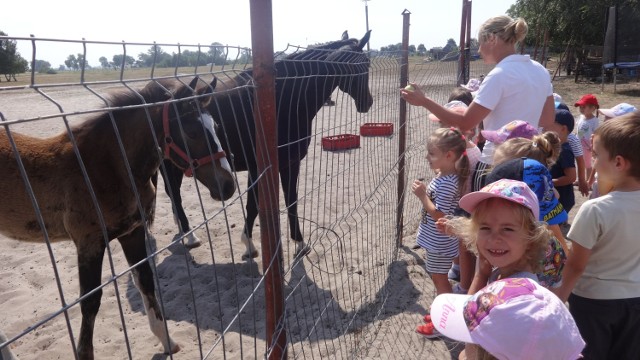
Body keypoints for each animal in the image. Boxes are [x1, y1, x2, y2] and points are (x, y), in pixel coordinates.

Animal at [0, 77, 235, 358]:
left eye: (216, 126)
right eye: (191, 132)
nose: (228, 185)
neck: (107, 168)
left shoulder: (132, 233)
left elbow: (146, 281)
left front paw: (167, 341)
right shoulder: (89, 243)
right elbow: (90, 301)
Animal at [161, 29, 376, 258]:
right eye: (363, 63)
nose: (367, 102)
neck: (282, 99)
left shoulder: (289, 163)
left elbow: (291, 201)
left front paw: (299, 243)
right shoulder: (260, 167)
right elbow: (254, 205)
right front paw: (249, 244)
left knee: (173, 194)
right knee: (174, 195)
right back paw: (190, 236)